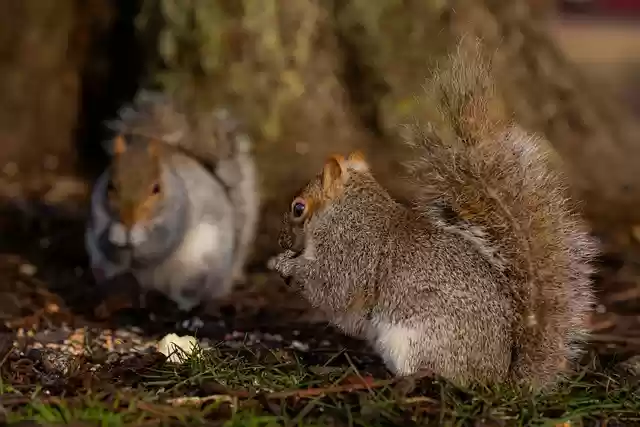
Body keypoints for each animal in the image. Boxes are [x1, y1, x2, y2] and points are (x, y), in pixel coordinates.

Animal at [86, 90, 259, 312]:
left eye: (156, 188)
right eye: (110, 185)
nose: (129, 220)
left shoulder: (178, 213)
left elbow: (162, 242)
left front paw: (140, 237)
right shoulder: (97, 212)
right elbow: (105, 243)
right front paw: (115, 234)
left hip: (197, 270)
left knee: (191, 292)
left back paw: (183, 303)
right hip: (106, 271)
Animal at [267, 42, 597, 391]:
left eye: (298, 208)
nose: (281, 239)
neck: (348, 211)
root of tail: (498, 377)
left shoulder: (350, 251)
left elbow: (331, 287)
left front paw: (283, 264)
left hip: (419, 337)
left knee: (437, 372)